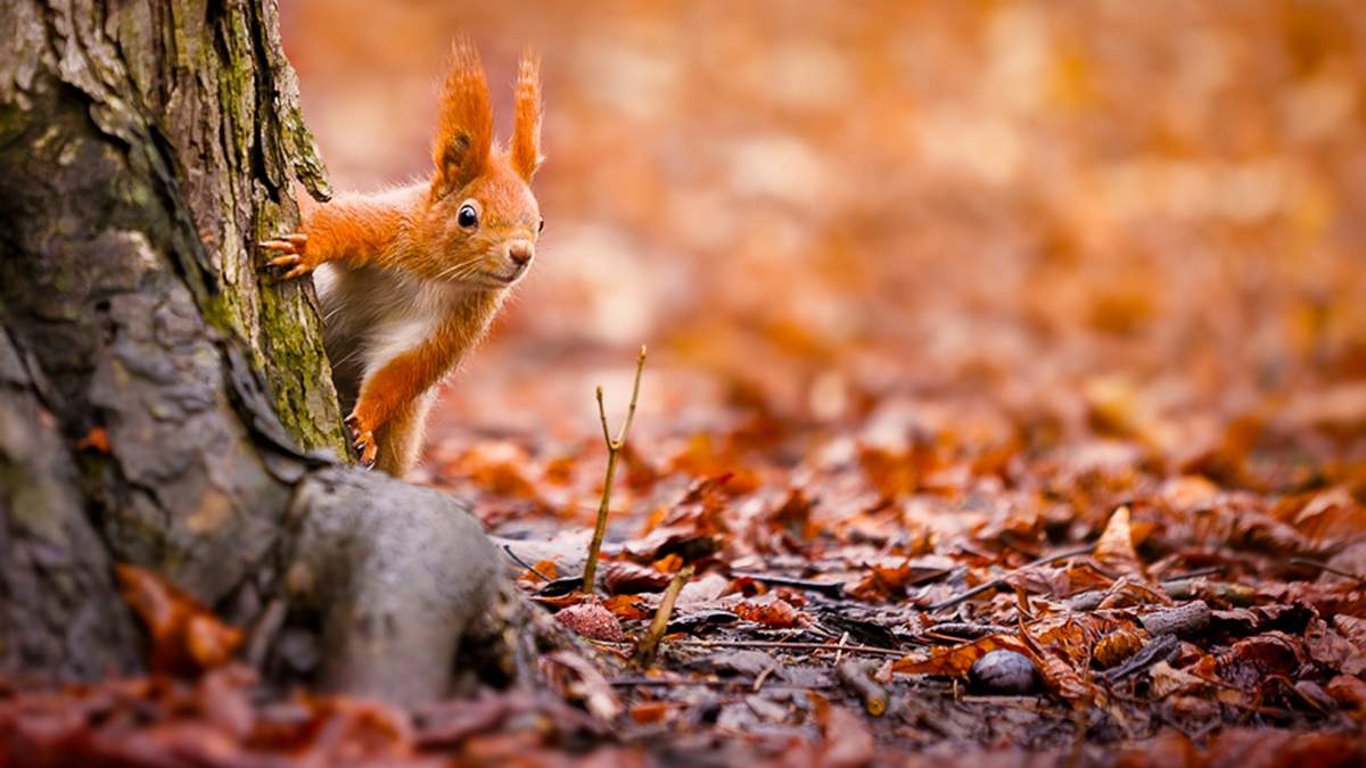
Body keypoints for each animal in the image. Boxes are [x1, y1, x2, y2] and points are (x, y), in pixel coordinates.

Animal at [258, 41, 540, 475]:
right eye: (467, 216)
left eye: (540, 222)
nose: (521, 254)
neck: (437, 275)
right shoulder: (387, 228)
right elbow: (340, 223)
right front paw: (306, 247)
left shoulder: (453, 324)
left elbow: (400, 372)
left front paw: (364, 426)